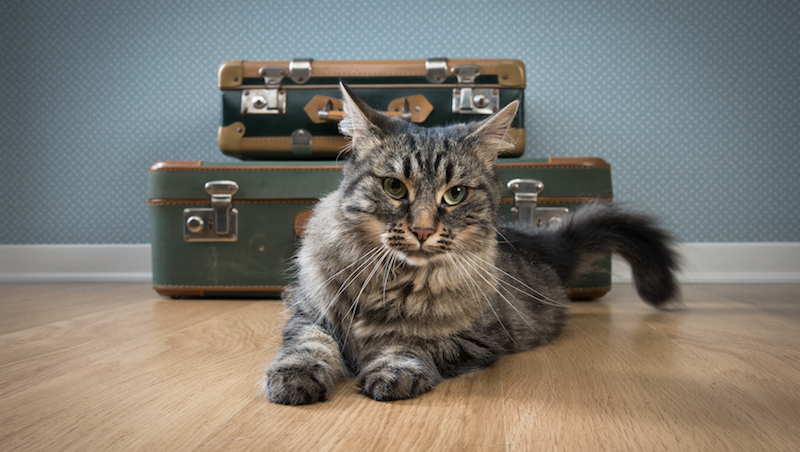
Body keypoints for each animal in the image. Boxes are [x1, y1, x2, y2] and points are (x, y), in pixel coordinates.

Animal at [266, 83, 680, 404]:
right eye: (395, 187)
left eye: (455, 195)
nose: (422, 230)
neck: (394, 281)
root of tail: (538, 243)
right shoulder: (308, 312)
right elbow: (309, 345)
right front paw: (295, 378)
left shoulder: (477, 338)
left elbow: (413, 342)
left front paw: (392, 369)